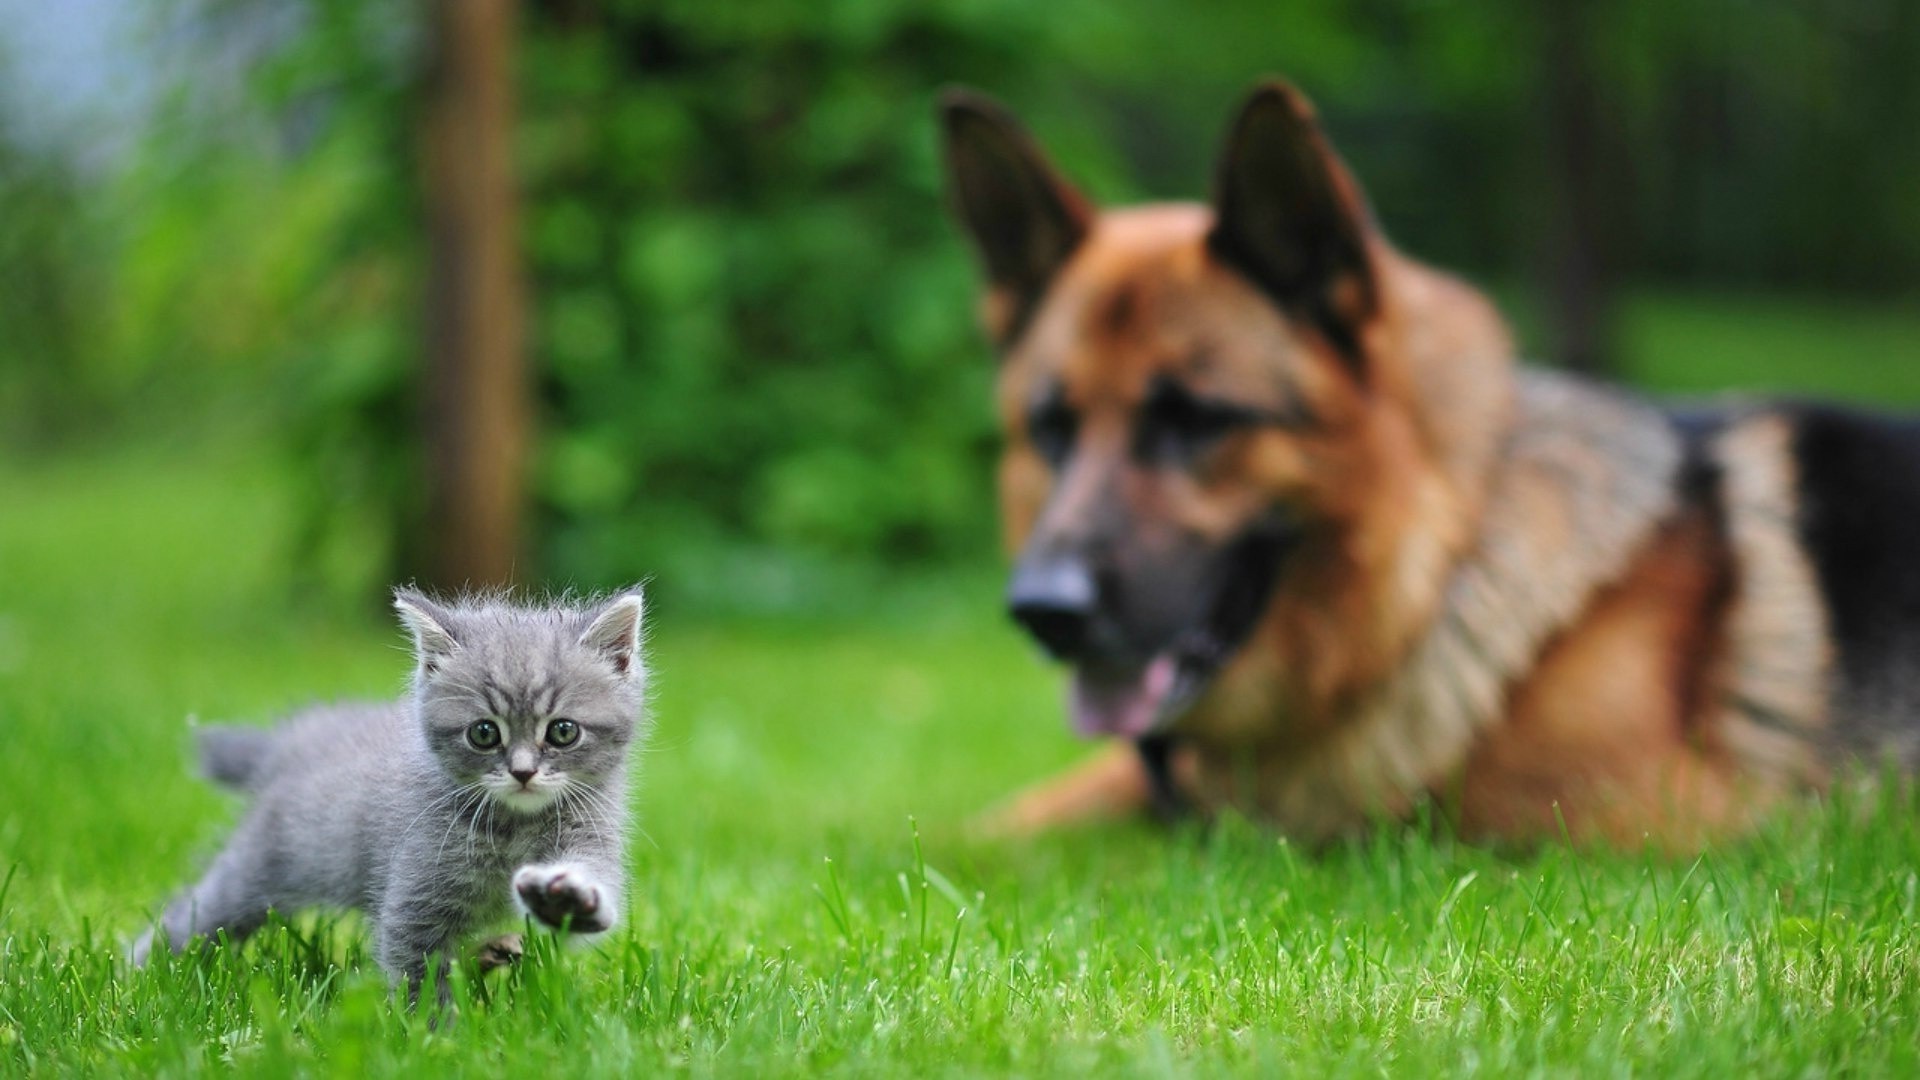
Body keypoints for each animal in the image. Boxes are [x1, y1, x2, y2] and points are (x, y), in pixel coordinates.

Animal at [133, 584, 652, 999]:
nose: (523, 772)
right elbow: (415, 969)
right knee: (198, 912)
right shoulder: (416, 892)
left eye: (562, 731)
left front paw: (565, 900)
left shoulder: (588, 833)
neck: (514, 829)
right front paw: (436, 1037)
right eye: (484, 733)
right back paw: (141, 970)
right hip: (261, 868)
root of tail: (291, 742)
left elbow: (590, 893)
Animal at [940, 79, 1920, 845]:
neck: (1438, 572)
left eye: (1197, 418)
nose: (1044, 612)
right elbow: (998, 826)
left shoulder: (1649, 818)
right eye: (1053, 427)